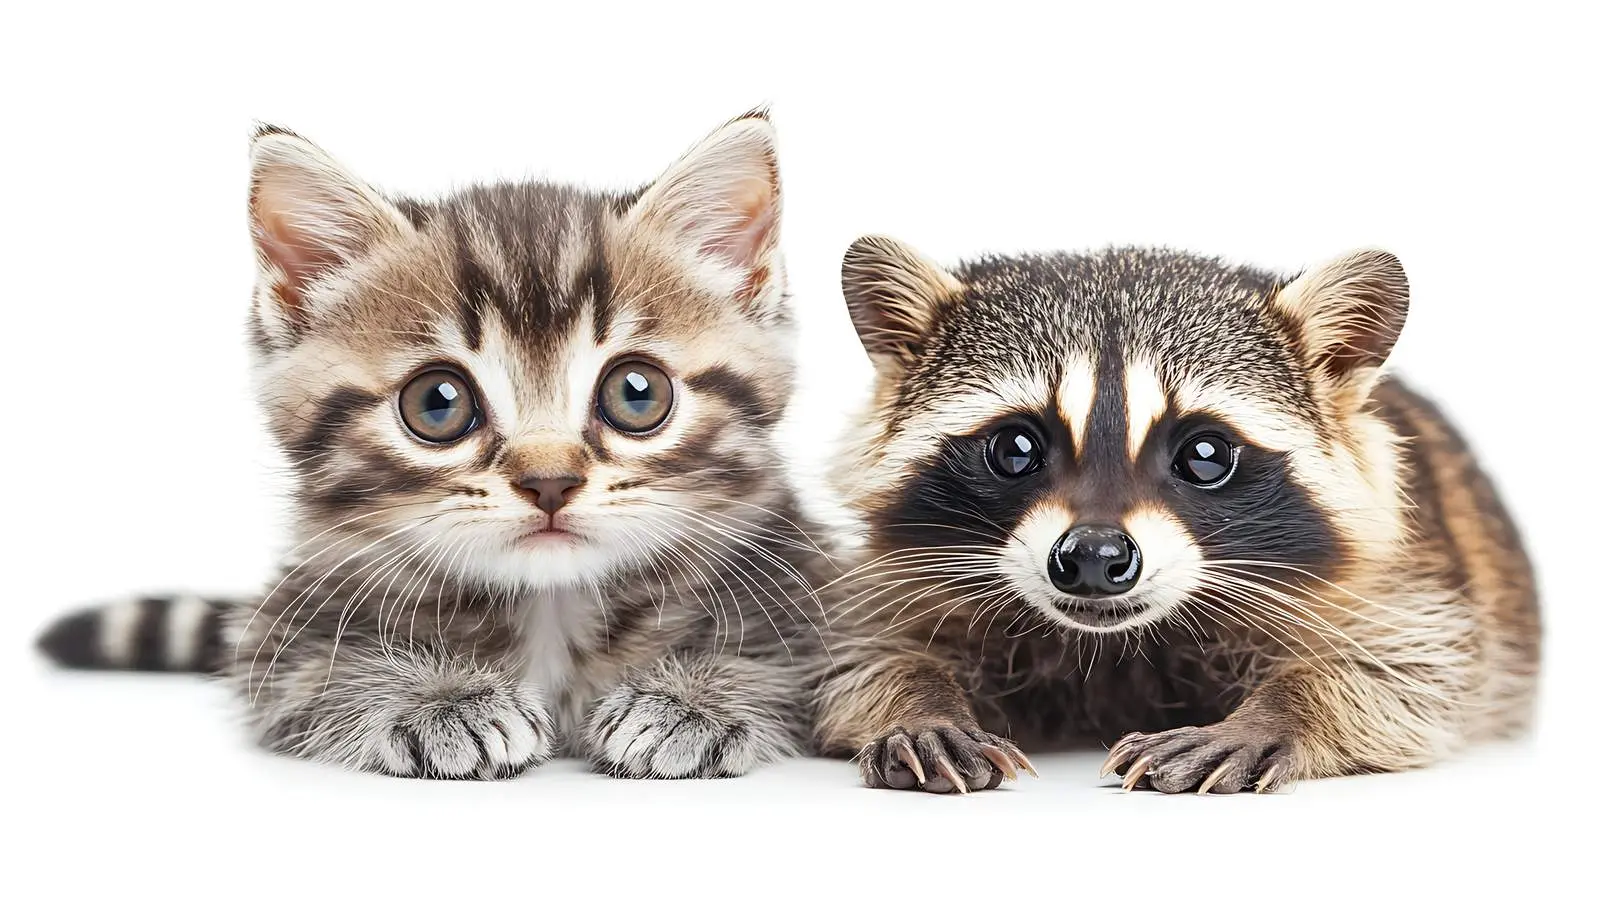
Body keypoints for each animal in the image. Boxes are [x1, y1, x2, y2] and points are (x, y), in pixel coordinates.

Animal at [36, 112, 833, 780]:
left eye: (638, 394)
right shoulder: (280, 638)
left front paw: (689, 701)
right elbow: (320, 673)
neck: (550, 607)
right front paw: (441, 699)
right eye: (437, 404)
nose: (549, 481)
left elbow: (790, 669)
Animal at [814, 237, 1540, 794]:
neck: (1112, 644)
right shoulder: (890, 579)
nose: (1094, 557)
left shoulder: (1401, 588)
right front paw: (919, 700)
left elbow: (1413, 675)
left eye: (1205, 454)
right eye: (1015, 449)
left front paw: (1277, 713)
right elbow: (859, 657)